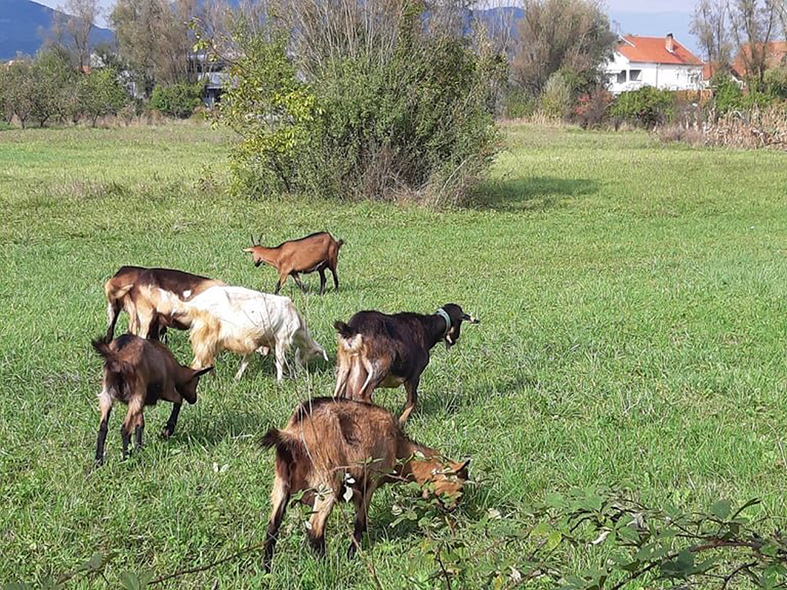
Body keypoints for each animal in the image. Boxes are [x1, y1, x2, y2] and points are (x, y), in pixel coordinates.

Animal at [91, 334, 212, 465]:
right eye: (196, 381)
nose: (194, 399)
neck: (171, 365)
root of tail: (117, 357)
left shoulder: (141, 404)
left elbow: (140, 424)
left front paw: (138, 447)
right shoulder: (167, 390)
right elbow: (179, 400)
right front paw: (167, 430)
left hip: (107, 394)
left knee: (103, 427)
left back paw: (98, 461)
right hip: (136, 394)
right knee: (125, 428)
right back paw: (126, 459)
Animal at [170, 285, 328, 381]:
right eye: (313, 355)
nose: (302, 370)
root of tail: (194, 303)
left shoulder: (254, 343)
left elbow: (245, 361)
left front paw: (236, 379)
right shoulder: (281, 339)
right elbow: (279, 361)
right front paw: (280, 382)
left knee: (207, 361)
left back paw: (215, 380)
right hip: (207, 335)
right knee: (197, 363)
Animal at [261, 397, 469, 568]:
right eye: (459, 488)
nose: (453, 508)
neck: (398, 446)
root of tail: (293, 434)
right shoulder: (370, 481)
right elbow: (361, 521)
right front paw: (352, 554)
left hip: (281, 483)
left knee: (272, 527)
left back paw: (267, 570)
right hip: (327, 483)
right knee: (315, 527)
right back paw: (326, 566)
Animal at [333, 304, 479, 424]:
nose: (455, 340)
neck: (427, 329)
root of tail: (352, 329)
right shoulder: (414, 375)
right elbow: (412, 400)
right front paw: (401, 421)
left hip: (346, 366)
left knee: (339, 396)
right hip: (381, 363)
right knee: (363, 393)